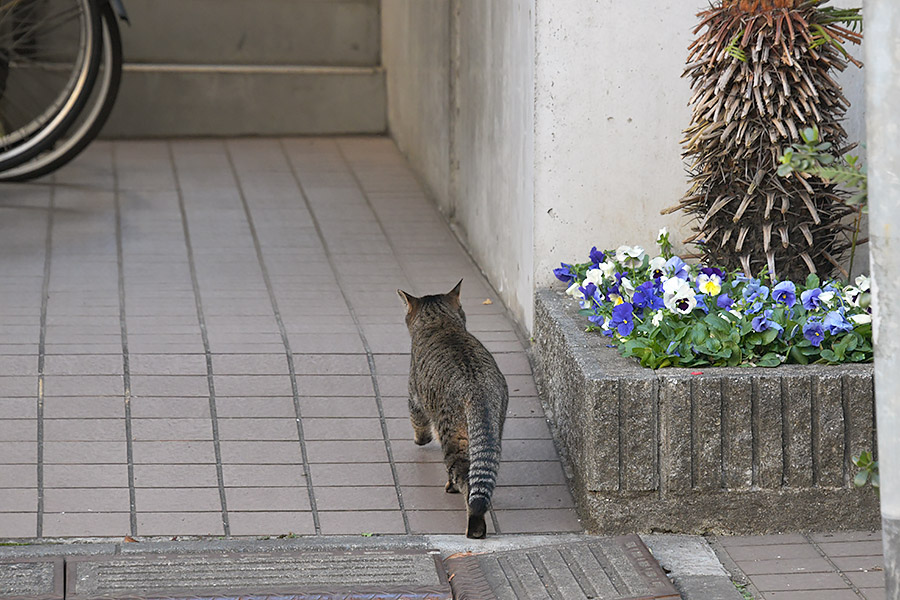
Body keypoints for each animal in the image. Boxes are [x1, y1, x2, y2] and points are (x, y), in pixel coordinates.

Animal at [400, 282, 510, 540]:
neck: (441, 322)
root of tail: (477, 389)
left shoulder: (414, 397)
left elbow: (418, 424)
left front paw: (420, 440)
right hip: (492, 431)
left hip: (453, 439)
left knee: (467, 481)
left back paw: (473, 524)